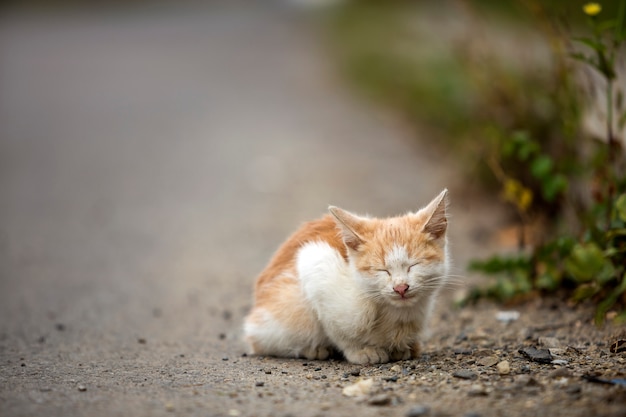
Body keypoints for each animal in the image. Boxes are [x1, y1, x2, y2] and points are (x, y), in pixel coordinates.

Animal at [243, 190, 448, 362]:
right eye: (382, 270)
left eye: (414, 265)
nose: (400, 288)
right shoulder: (314, 260)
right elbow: (338, 331)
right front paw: (361, 351)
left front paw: (403, 348)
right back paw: (313, 349)